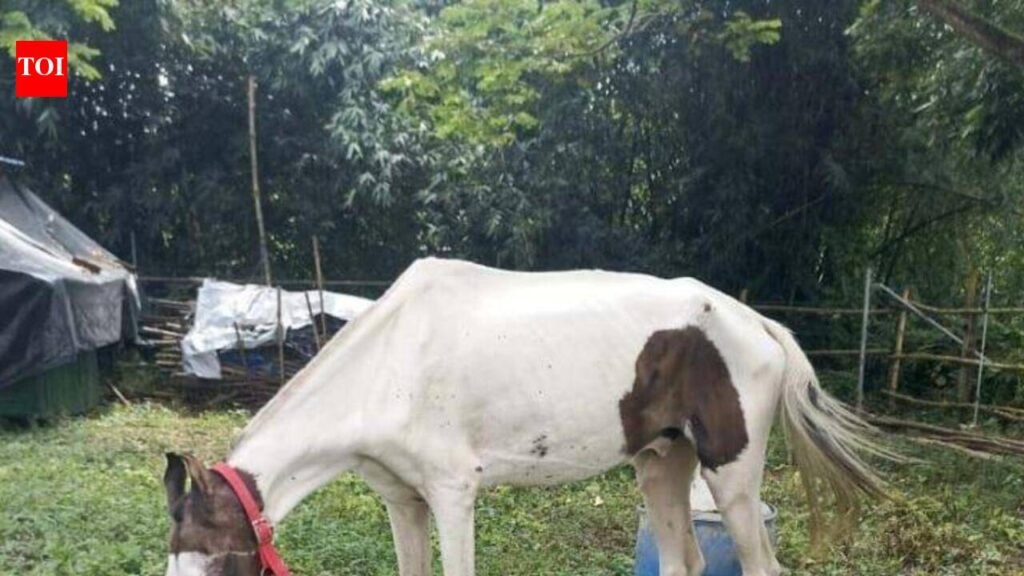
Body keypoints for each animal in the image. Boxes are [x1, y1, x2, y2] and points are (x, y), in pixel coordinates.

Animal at [163, 258, 887, 576]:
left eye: (218, 562)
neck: (390, 361)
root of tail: (761, 325)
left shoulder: (453, 494)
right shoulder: (403, 501)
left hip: (732, 478)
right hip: (661, 466)